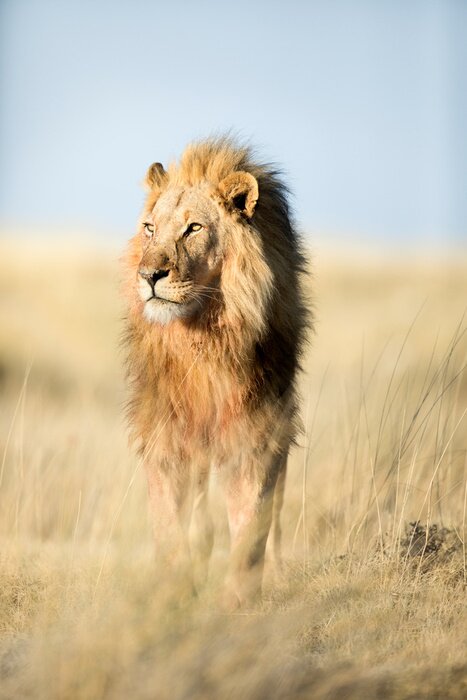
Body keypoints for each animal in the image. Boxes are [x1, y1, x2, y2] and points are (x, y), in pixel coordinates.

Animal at [123, 137, 310, 608]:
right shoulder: (165, 433)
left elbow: (252, 523)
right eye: (149, 228)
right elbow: (170, 525)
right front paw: (173, 595)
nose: (149, 275)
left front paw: (238, 601)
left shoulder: (259, 431)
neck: (203, 336)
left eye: (193, 228)